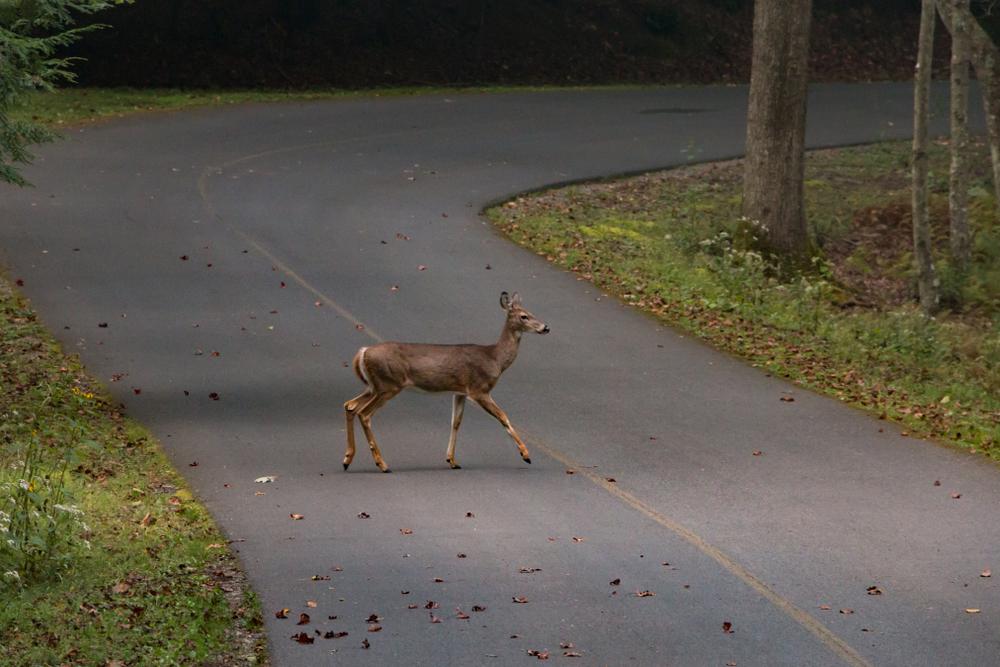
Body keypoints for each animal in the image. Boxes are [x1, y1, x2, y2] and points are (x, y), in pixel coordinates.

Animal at [342, 291, 550, 472]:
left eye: (532, 312)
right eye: (524, 316)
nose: (545, 327)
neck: (495, 359)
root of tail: (363, 352)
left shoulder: (460, 391)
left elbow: (455, 422)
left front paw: (452, 460)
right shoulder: (479, 389)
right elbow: (503, 416)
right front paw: (526, 455)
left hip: (374, 386)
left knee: (350, 405)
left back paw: (347, 459)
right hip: (389, 384)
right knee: (364, 414)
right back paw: (382, 465)